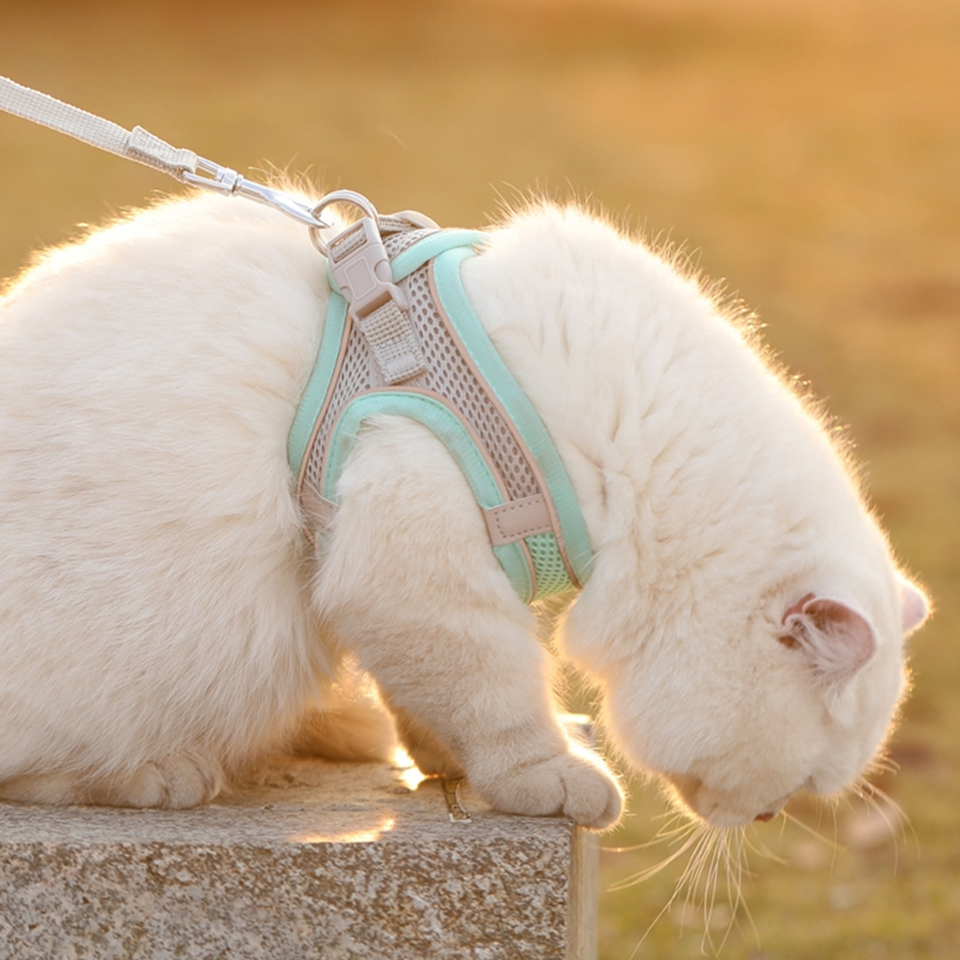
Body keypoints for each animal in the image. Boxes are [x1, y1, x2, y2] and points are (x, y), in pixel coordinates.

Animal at [0, 191, 928, 828]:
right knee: (36, 772)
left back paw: (338, 729)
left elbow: (437, 704)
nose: (765, 819)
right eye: (806, 783)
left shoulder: (404, 579)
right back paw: (165, 771)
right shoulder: (414, 561)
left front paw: (442, 761)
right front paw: (550, 780)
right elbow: (498, 697)